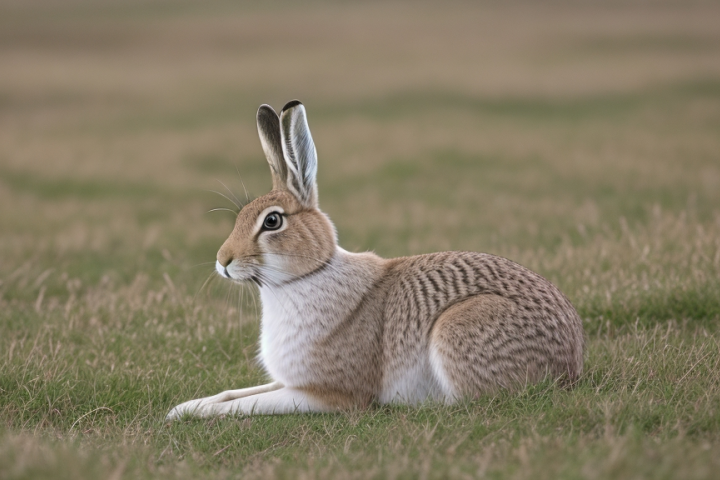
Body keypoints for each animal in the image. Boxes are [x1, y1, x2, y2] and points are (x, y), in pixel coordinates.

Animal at [166, 100, 584, 420]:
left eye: (272, 221)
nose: (223, 261)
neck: (308, 275)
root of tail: (572, 363)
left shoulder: (327, 392)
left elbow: (248, 404)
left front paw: (189, 413)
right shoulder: (289, 380)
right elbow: (234, 394)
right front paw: (182, 408)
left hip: (458, 328)